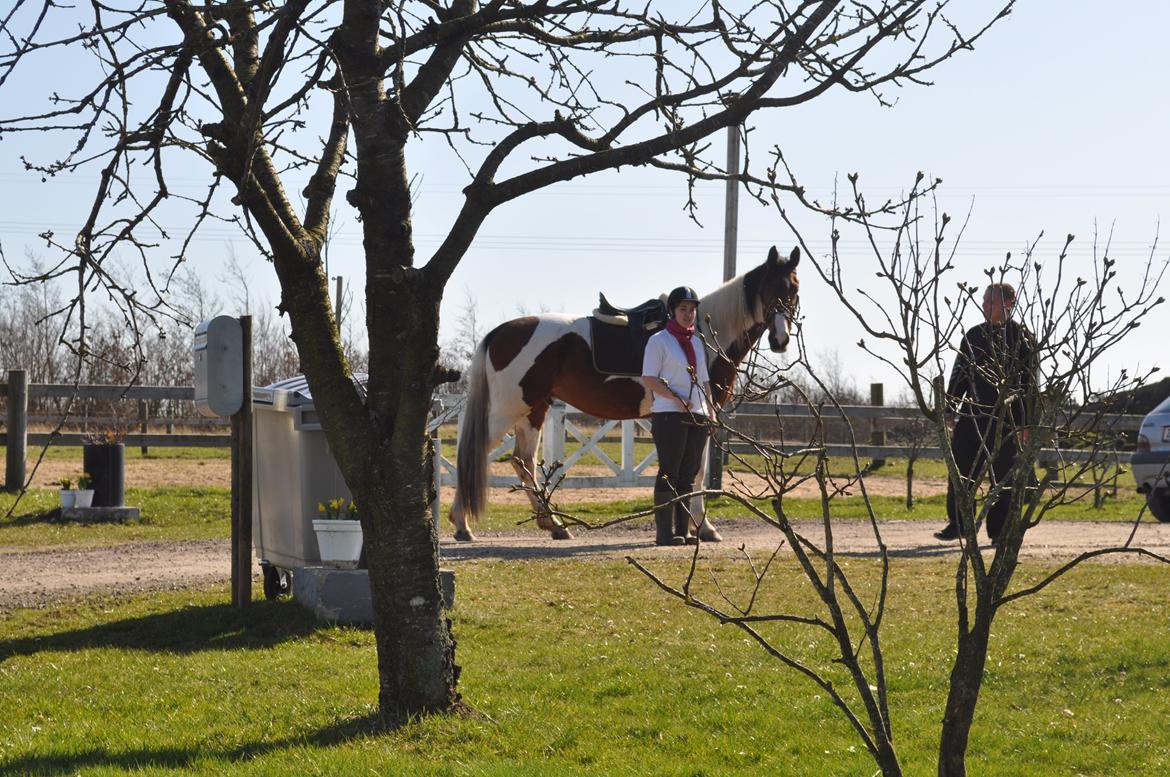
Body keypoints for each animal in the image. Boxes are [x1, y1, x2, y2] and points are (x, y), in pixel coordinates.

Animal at [449, 245, 804, 542]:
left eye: (795, 289)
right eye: (769, 288)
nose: (781, 339)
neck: (700, 334)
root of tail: (499, 332)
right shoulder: (703, 416)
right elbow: (698, 473)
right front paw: (704, 528)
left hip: (533, 410)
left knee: (523, 462)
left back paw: (555, 525)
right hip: (506, 411)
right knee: (474, 456)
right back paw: (462, 524)